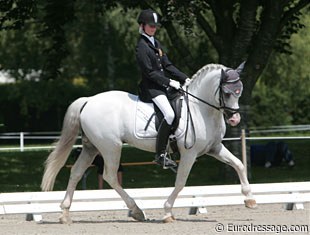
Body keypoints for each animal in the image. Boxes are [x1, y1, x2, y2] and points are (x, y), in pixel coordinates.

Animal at [42, 63, 258, 224]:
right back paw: (137, 211)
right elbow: (181, 182)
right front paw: (167, 212)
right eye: (227, 92)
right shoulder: (189, 154)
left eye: (239, 91)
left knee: (76, 172)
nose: (235, 119)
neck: (201, 109)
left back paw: (64, 214)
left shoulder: (215, 148)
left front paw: (249, 199)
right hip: (111, 147)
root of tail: (88, 101)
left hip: (91, 148)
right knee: (110, 176)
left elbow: (239, 164)